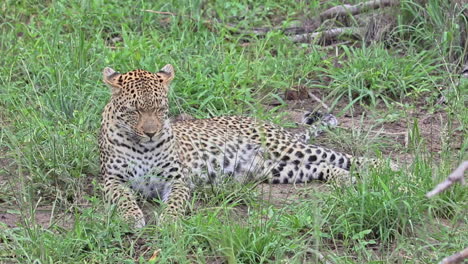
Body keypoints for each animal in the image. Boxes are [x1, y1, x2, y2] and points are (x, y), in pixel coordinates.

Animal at [99, 64, 394, 227]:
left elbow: (175, 202)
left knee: (337, 155)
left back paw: (387, 166)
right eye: (134, 111)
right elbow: (123, 198)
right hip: (276, 169)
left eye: (160, 109)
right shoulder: (112, 180)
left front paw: (170, 221)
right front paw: (132, 217)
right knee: (320, 166)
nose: (151, 133)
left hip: (285, 147)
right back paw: (344, 179)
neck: (143, 147)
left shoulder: (176, 180)